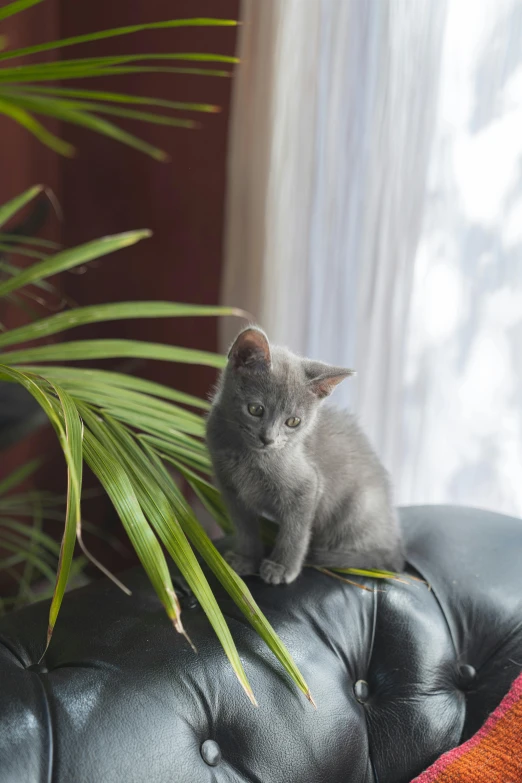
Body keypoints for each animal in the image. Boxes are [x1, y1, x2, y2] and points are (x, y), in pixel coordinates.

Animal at [205, 326, 404, 588]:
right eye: (255, 409)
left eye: (293, 422)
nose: (268, 438)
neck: (246, 456)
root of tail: (395, 545)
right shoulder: (230, 491)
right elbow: (245, 528)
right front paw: (247, 559)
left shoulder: (307, 487)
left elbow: (295, 532)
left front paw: (282, 567)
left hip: (361, 505)